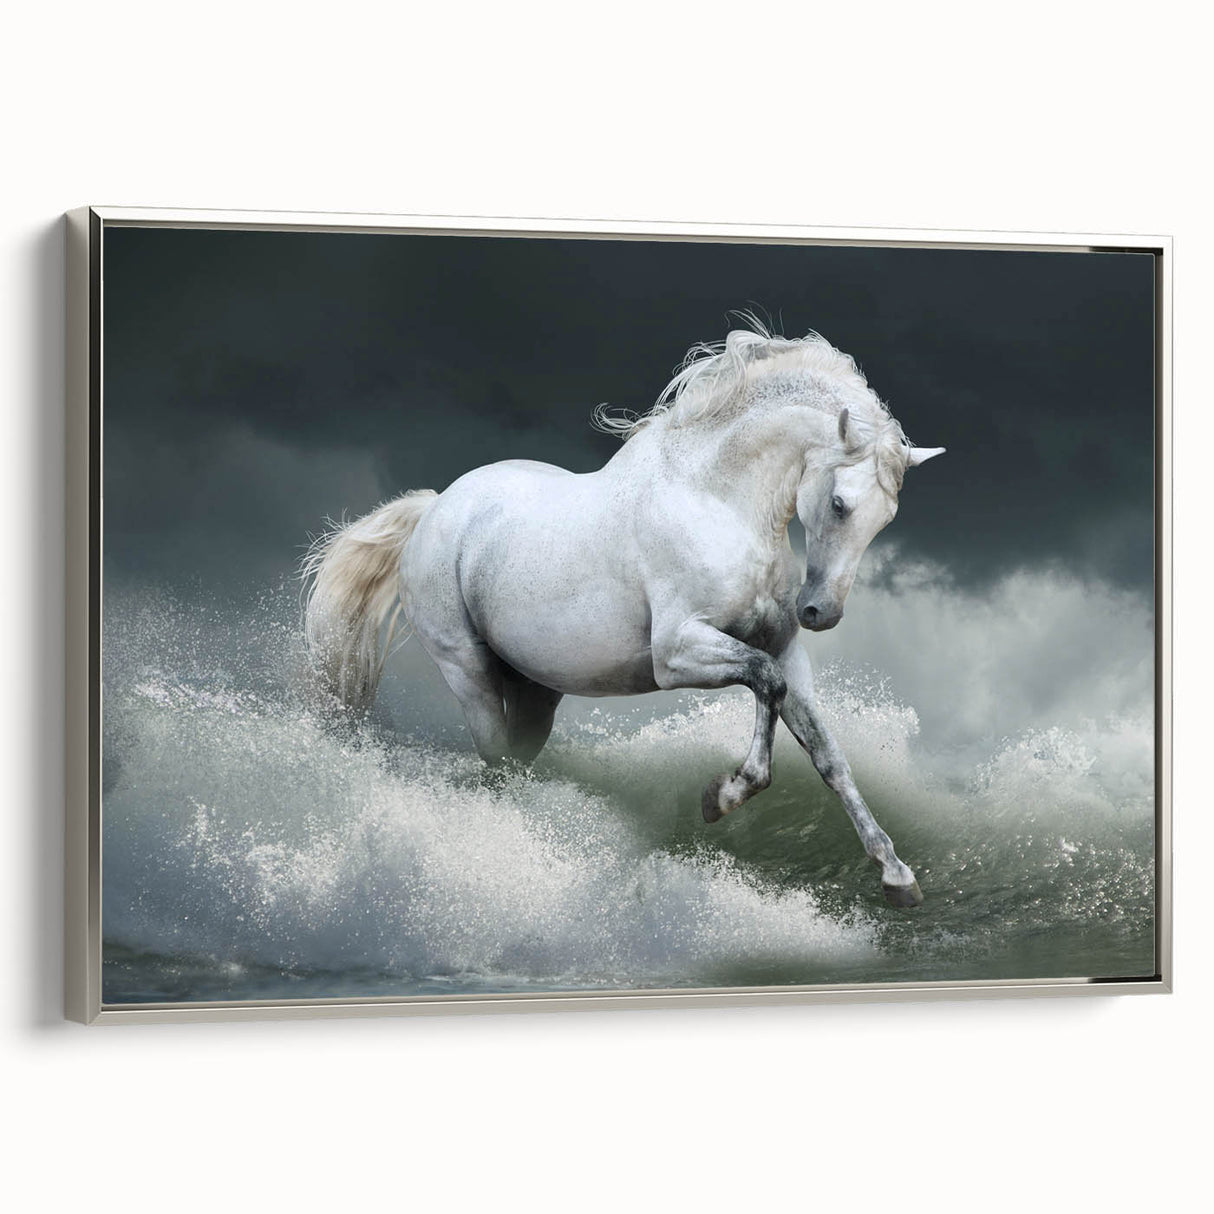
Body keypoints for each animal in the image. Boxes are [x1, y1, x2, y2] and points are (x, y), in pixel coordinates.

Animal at [303, 323, 944, 907]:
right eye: (839, 504)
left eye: (885, 518)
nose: (820, 612)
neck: (715, 500)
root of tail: (435, 508)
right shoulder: (677, 654)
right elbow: (765, 683)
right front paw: (723, 796)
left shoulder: (786, 649)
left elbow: (826, 752)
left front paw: (896, 875)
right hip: (468, 672)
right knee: (496, 762)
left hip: (535, 691)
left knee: (517, 760)